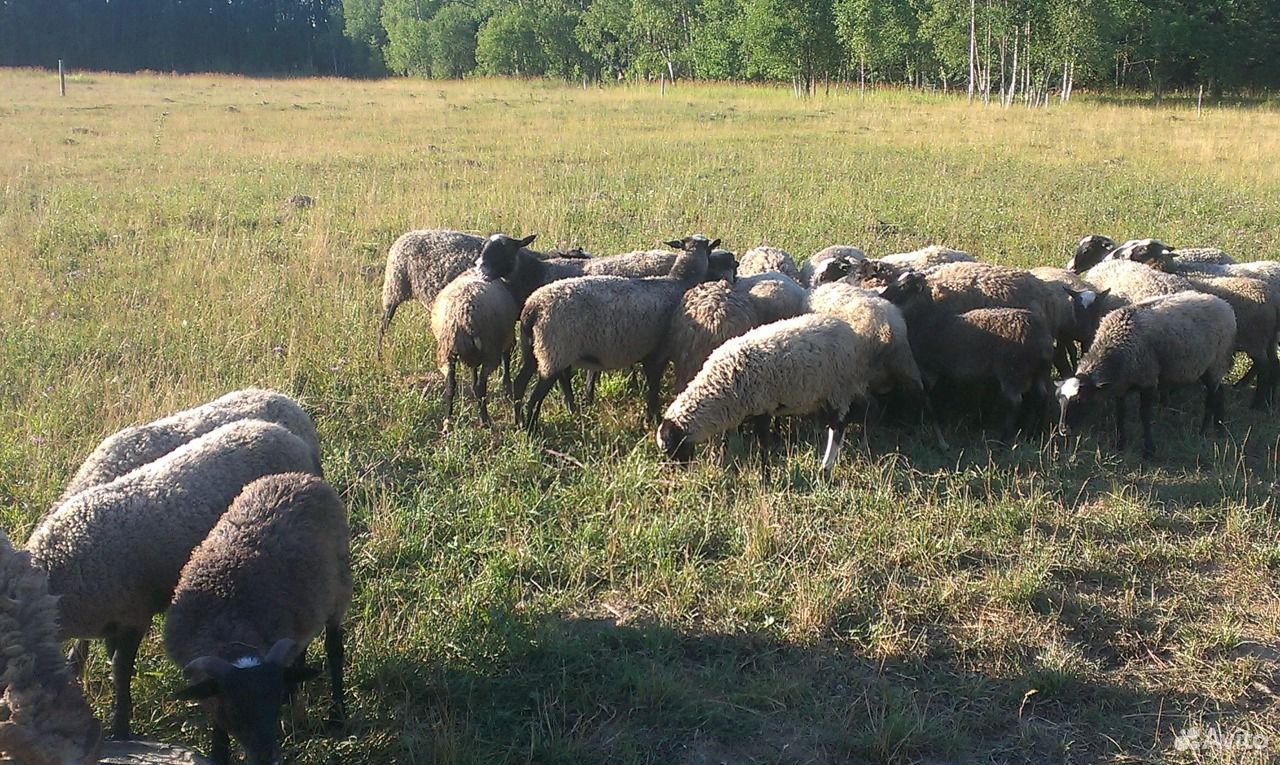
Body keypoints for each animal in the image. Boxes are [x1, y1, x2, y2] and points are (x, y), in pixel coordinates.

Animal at [165, 473, 351, 765]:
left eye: (272, 707)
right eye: (235, 710)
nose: (266, 757)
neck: (229, 631)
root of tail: (300, 477)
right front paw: (219, 752)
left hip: (339, 589)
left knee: (334, 648)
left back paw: (337, 715)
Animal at [430, 268, 518, 427]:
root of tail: (462, 315)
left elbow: (473, 370)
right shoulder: (506, 336)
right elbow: (506, 358)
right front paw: (507, 388)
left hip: (447, 351)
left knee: (450, 386)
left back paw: (447, 422)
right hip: (490, 350)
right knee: (481, 387)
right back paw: (484, 420)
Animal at [514, 235, 719, 432]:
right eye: (710, 250)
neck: (678, 281)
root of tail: (533, 308)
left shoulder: (649, 353)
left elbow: (651, 384)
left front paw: (651, 416)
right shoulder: (658, 352)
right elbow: (654, 385)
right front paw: (653, 418)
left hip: (533, 349)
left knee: (520, 384)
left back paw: (519, 423)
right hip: (554, 353)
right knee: (535, 397)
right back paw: (531, 430)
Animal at [656, 314, 884, 478]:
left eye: (671, 449)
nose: (679, 471)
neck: (719, 385)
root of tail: (850, 332)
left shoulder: (762, 407)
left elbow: (763, 446)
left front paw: (765, 478)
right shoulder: (734, 412)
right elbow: (725, 442)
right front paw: (722, 467)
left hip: (837, 389)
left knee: (838, 428)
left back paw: (825, 467)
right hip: (830, 393)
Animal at [1057, 291, 1236, 458]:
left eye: (1081, 400)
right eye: (1060, 400)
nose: (1063, 430)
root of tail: (1223, 303)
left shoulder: (1148, 380)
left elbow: (1145, 415)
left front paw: (1149, 450)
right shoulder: (1121, 386)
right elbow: (1120, 414)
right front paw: (1120, 444)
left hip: (1216, 362)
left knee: (1211, 399)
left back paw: (1203, 432)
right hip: (1209, 367)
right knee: (1220, 392)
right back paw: (1219, 428)